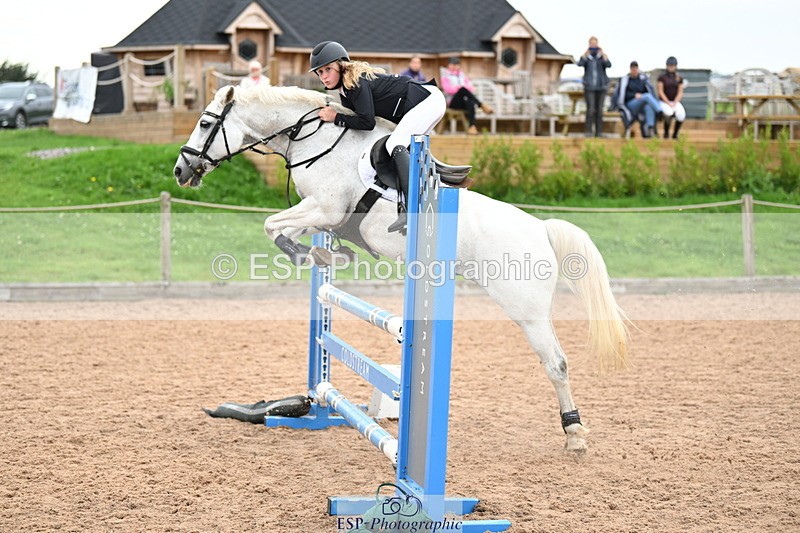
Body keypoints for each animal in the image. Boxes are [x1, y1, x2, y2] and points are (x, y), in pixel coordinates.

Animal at [173, 84, 629, 452]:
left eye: (205, 122)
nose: (181, 170)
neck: (314, 140)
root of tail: (541, 228)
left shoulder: (326, 208)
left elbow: (271, 224)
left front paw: (314, 256)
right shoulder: (322, 215)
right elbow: (284, 228)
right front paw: (328, 255)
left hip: (526, 310)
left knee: (556, 363)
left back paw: (575, 434)